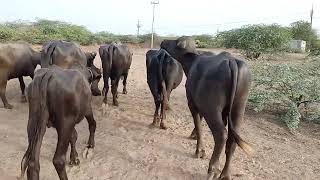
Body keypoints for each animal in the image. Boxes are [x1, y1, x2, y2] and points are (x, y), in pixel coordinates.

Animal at [161, 36, 251, 179]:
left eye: (176, 41)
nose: (163, 41)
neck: (192, 63)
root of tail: (231, 62)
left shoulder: (192, 103)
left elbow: (198, 124)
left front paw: (199, 150)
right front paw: (193, 135)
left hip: (212, 109)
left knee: (221, 135)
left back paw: (212, 169)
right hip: (238, 108)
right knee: (232, 139)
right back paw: (225, 174)